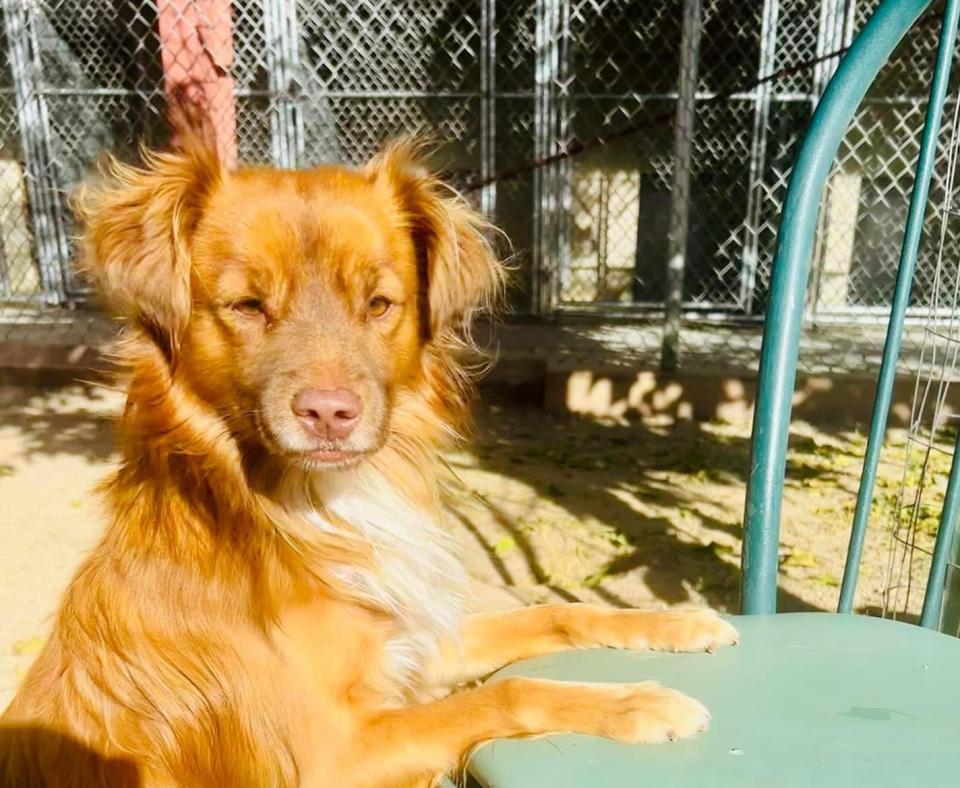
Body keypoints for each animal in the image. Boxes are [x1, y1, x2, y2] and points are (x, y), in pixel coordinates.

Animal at [1, 137, 736, 788]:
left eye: (379, 303)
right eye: (248, 306)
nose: (330, 413)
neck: (311, 505)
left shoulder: (410, 643)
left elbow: (548, 612)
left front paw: (673, 622)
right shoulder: (335, 756)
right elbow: (503, 695)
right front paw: (636, 702)